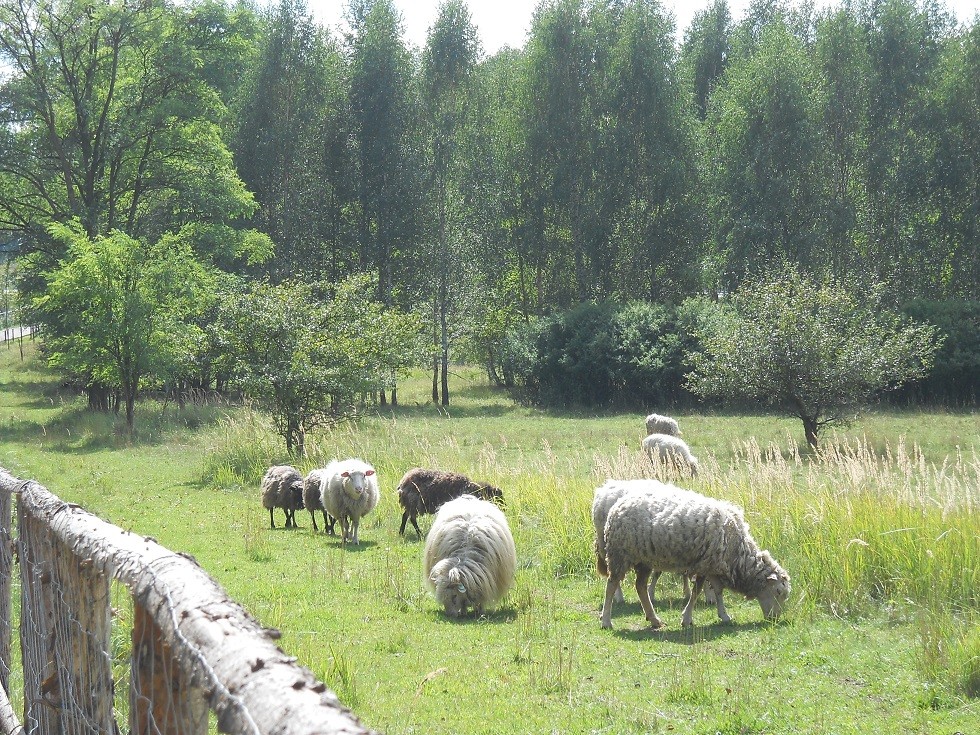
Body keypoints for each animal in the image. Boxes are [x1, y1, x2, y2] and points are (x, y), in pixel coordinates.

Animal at [424, 492, 516, 620]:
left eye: (454, 596)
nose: (450, 615)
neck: (464, 554)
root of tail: (470, 499)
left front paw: (480, 612)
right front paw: (463, 611)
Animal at [596, 484, 788, 632]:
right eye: (778, 591)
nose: (775, 619)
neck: (737, 551)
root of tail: (617, 505)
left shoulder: (712, 565)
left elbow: (717, 590)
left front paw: (723, 615)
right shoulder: (705, 563)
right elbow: (697, 591)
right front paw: (687, 618)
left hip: (644, 559)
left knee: (640, 586)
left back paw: (654, 619)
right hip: (620, 554)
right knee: (611, 585)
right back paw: (606, 621)